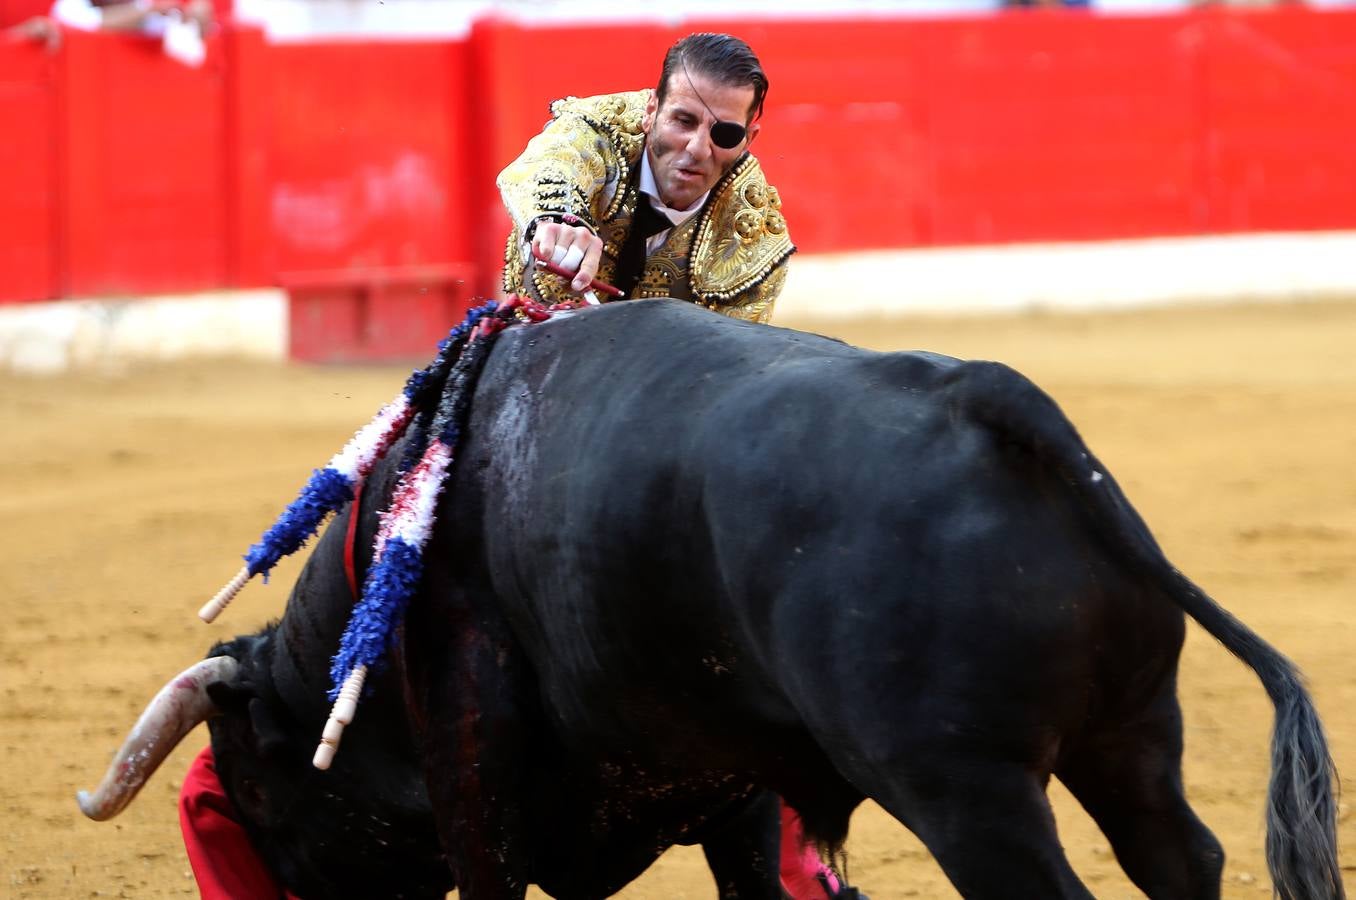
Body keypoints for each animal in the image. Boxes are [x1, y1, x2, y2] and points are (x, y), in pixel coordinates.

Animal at [79, 302, 1339, 900]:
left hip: (965, 788)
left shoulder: (475, 761)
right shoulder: (732, 777)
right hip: (1135, 736)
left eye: (251, 786)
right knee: (1181, 858)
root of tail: (1002, 406)